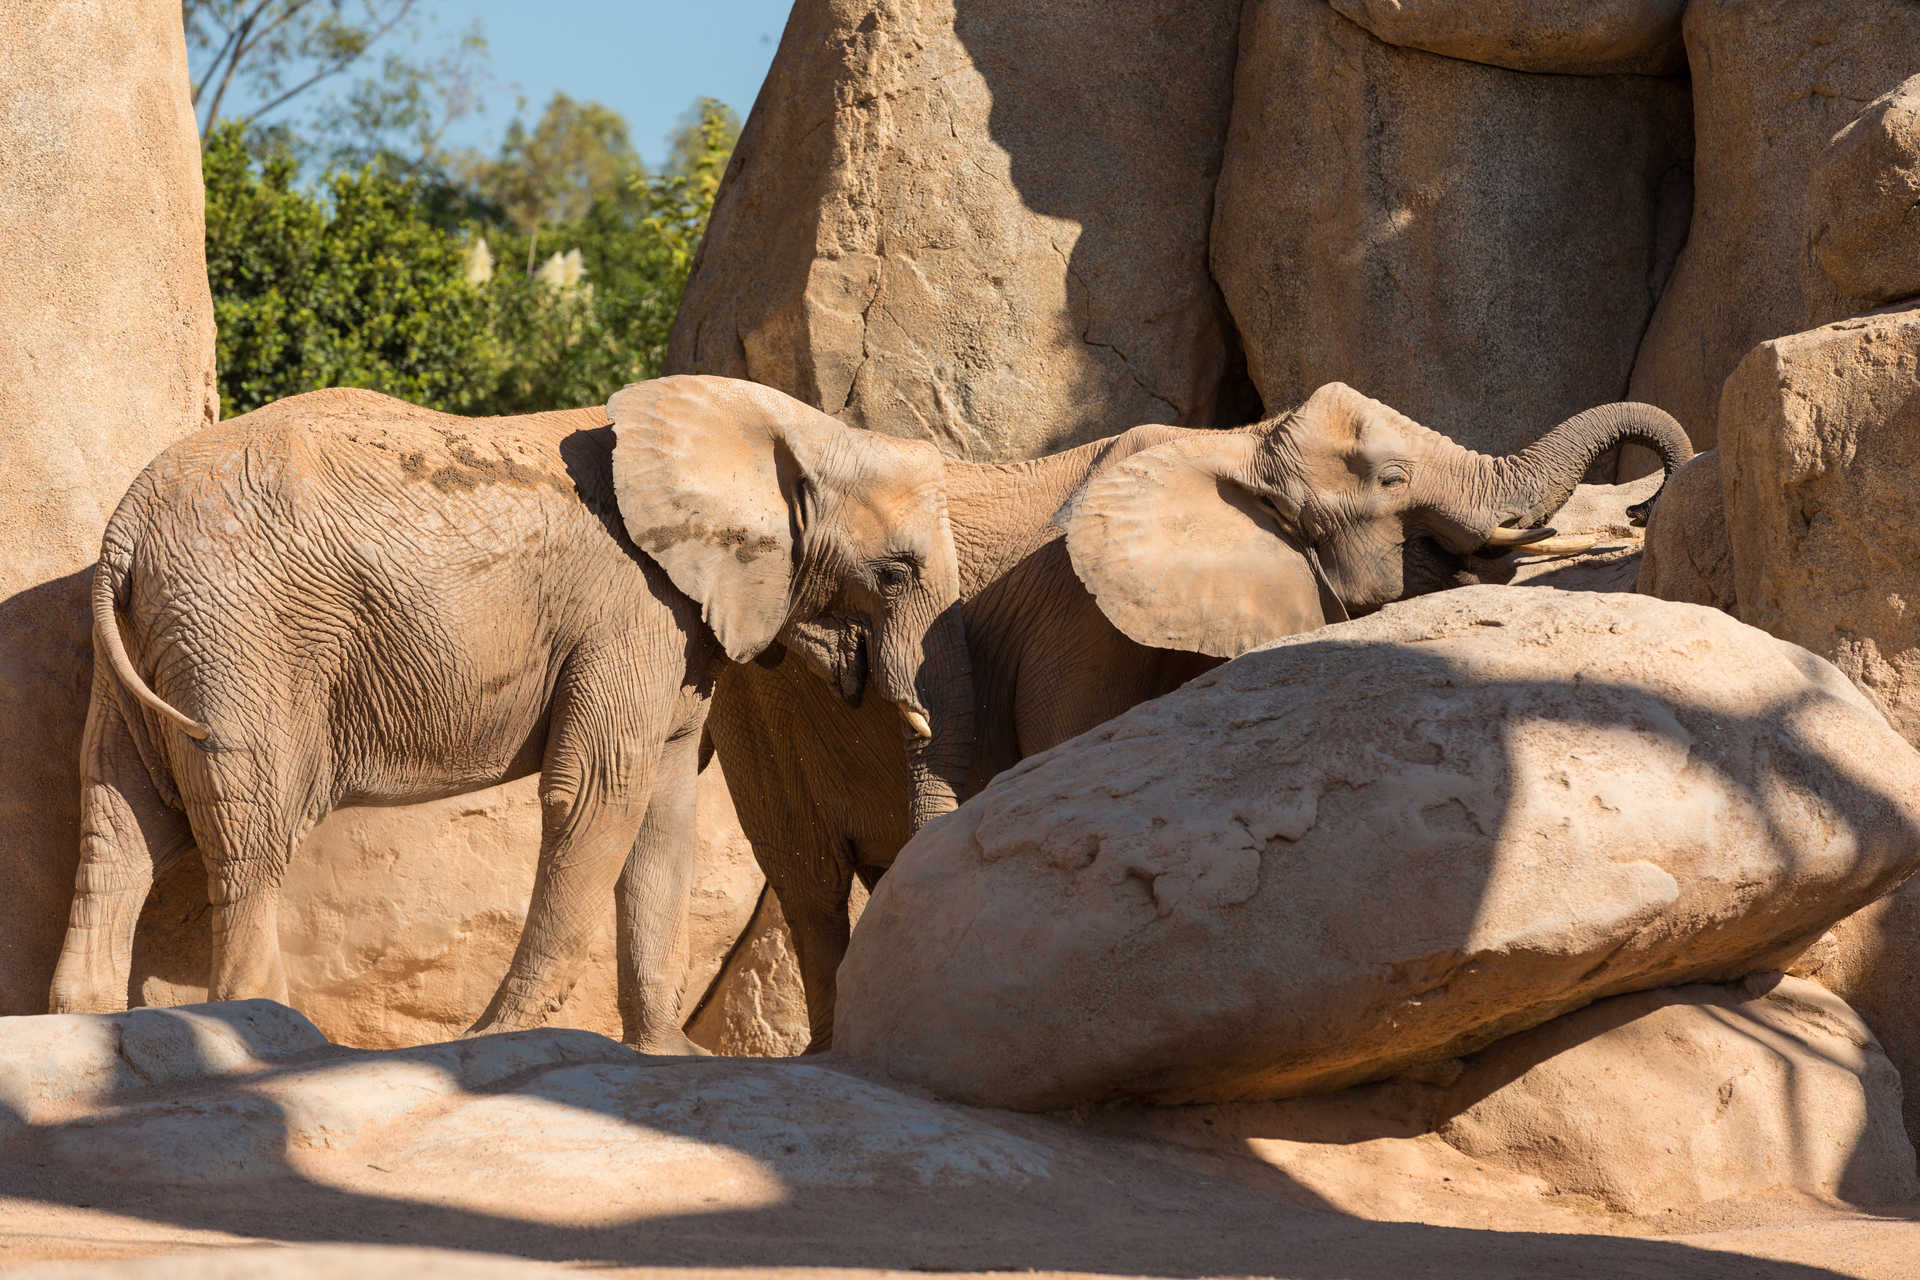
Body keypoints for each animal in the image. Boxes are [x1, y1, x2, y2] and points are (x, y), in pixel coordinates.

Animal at [45, 372, 975, 1051]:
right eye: (894, 573)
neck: (774, 424)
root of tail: (124, 531)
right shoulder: (631, 611)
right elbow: (601, 794)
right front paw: (497, 1041)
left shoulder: (678, 628)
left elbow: (664, 813)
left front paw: (664, 1056)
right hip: (242, 641)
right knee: (252, 832)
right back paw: (265, 1026)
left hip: (152, 647)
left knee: (118, 821)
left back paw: (83, 1019)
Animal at [710, 379, 1697, 1043]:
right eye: (1392, 478)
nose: (1661, 488)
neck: (1237, 445)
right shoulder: (1076, 608)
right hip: (754, 704)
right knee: (808, 890)